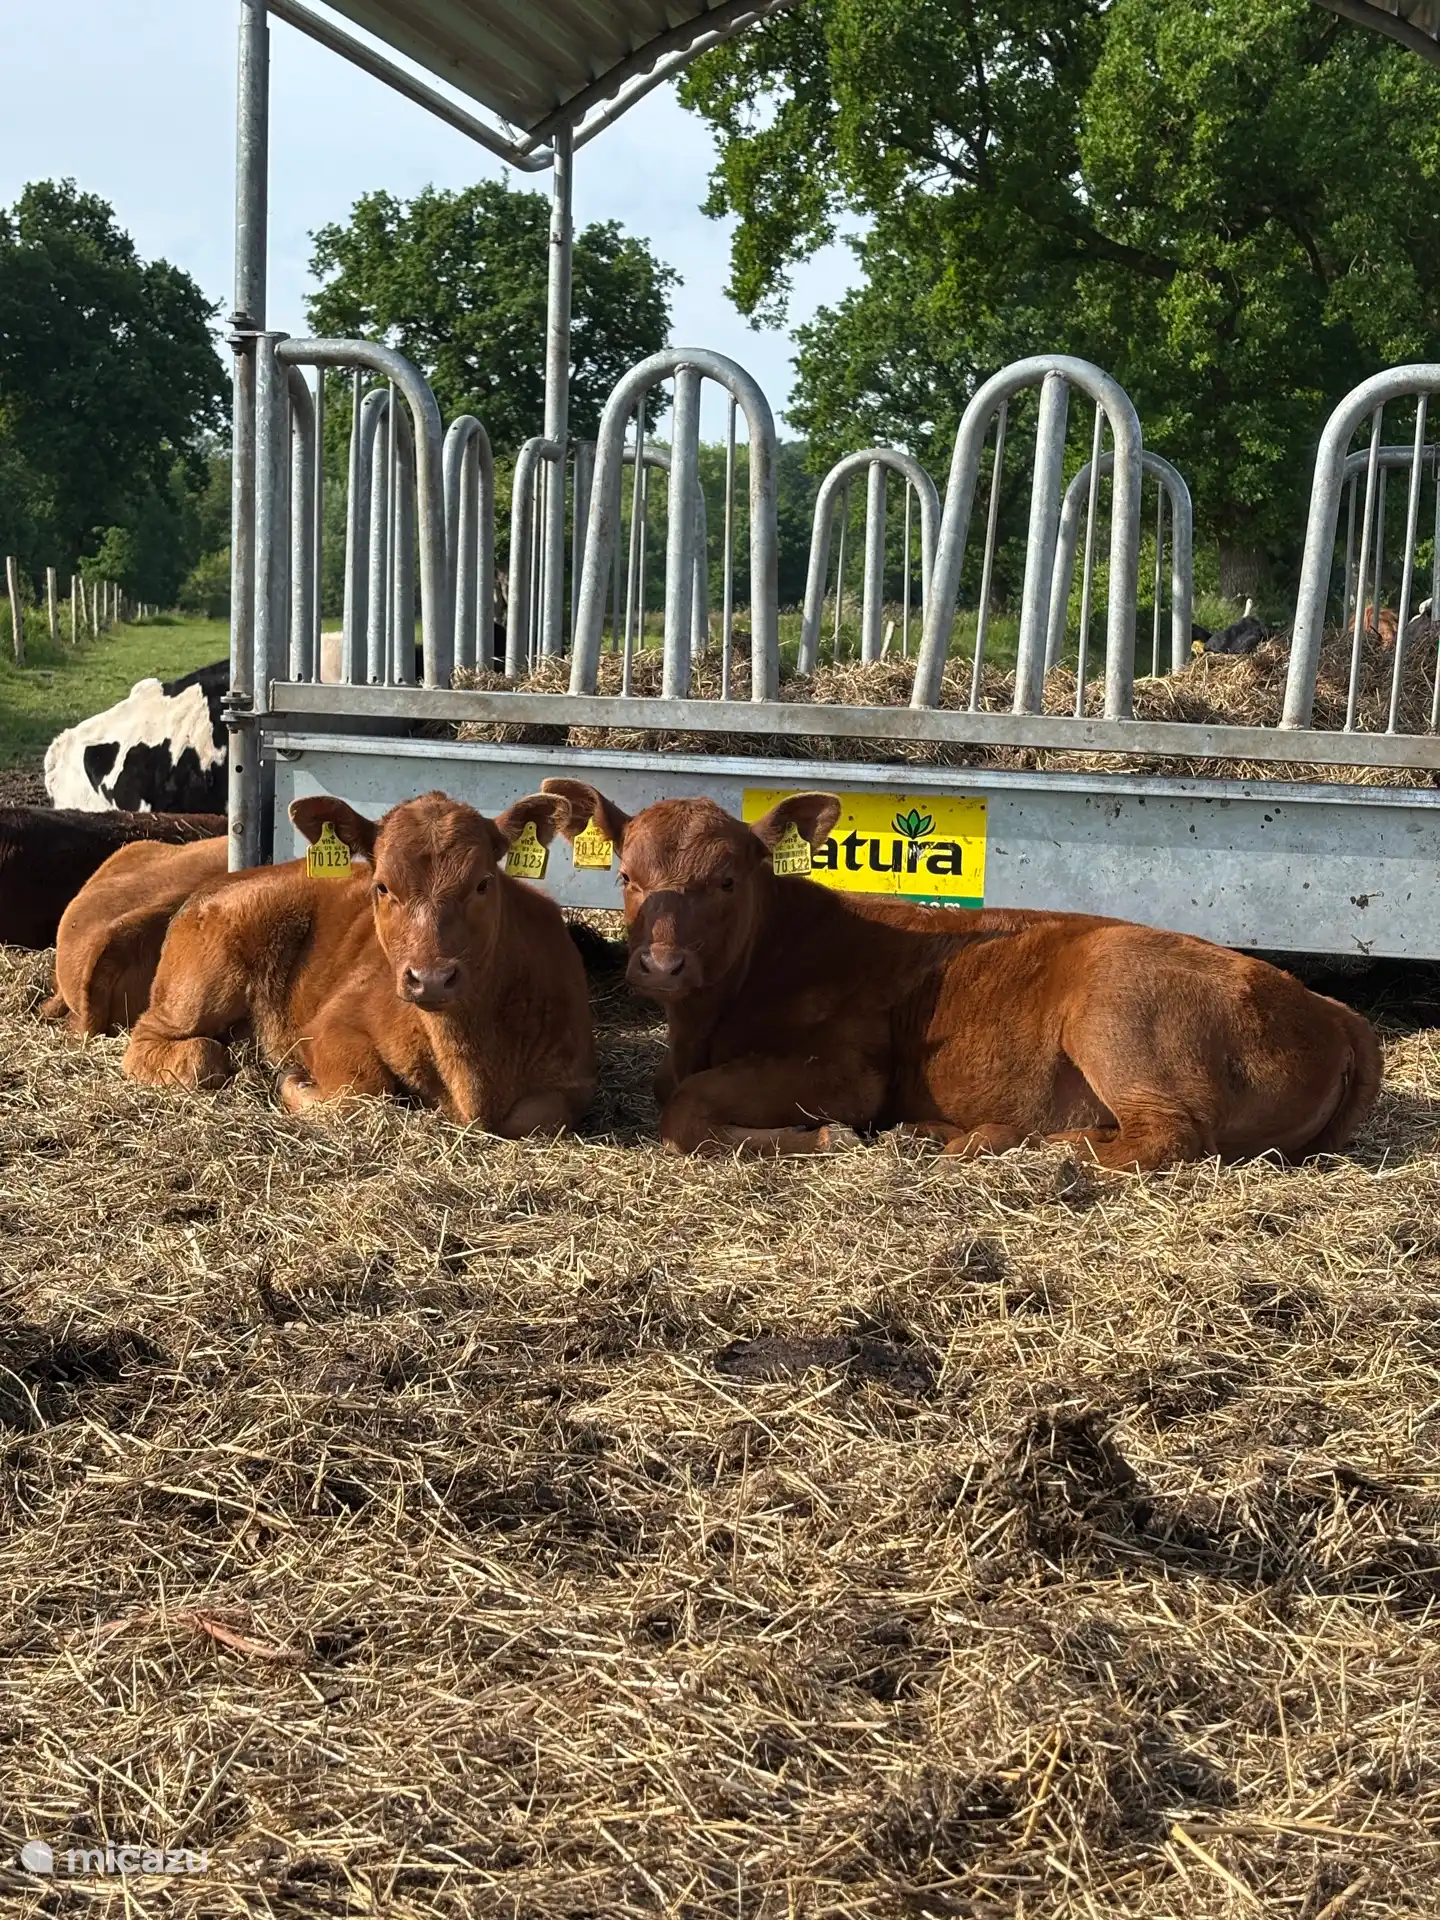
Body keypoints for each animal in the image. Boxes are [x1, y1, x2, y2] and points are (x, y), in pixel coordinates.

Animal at [122, 790, 595, 1135]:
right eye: (382, 886)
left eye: (483, 883)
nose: (431, 979)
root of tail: (217, 885)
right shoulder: (330, 1026)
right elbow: (362, 1092)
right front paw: (294, 1082)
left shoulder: (572, 1079)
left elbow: (538, 1117)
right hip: (198, 992)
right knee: (178, 1048)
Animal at [542, 780, 1382, 1170]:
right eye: (626, 876)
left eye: (725, 881)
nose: (660, 964)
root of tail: (1325, 1004)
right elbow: (670, 1090)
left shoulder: (848, 1070)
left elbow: (683, 1110)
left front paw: (821, 1140)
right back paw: (948, 1135)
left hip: (1120, 1014)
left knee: (1165, 1138)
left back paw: (1037, 1152)